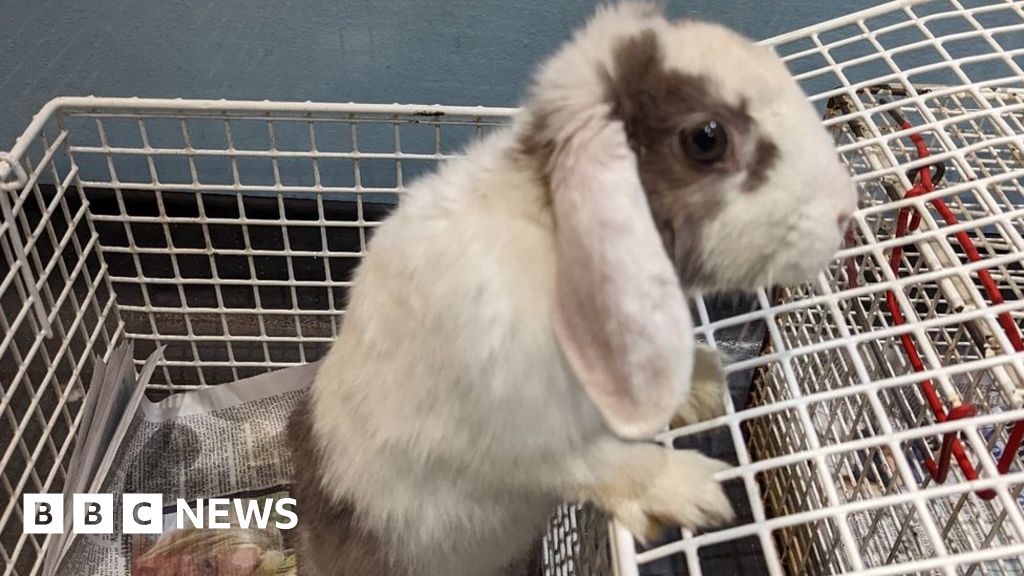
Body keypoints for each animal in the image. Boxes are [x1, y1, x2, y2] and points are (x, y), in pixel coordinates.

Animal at [287, 2, 858, 575]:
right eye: (706, 138)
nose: (844, 211)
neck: (553, 235)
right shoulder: (528, 432)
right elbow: (606, 463)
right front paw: (695, 490)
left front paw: (703, 386)